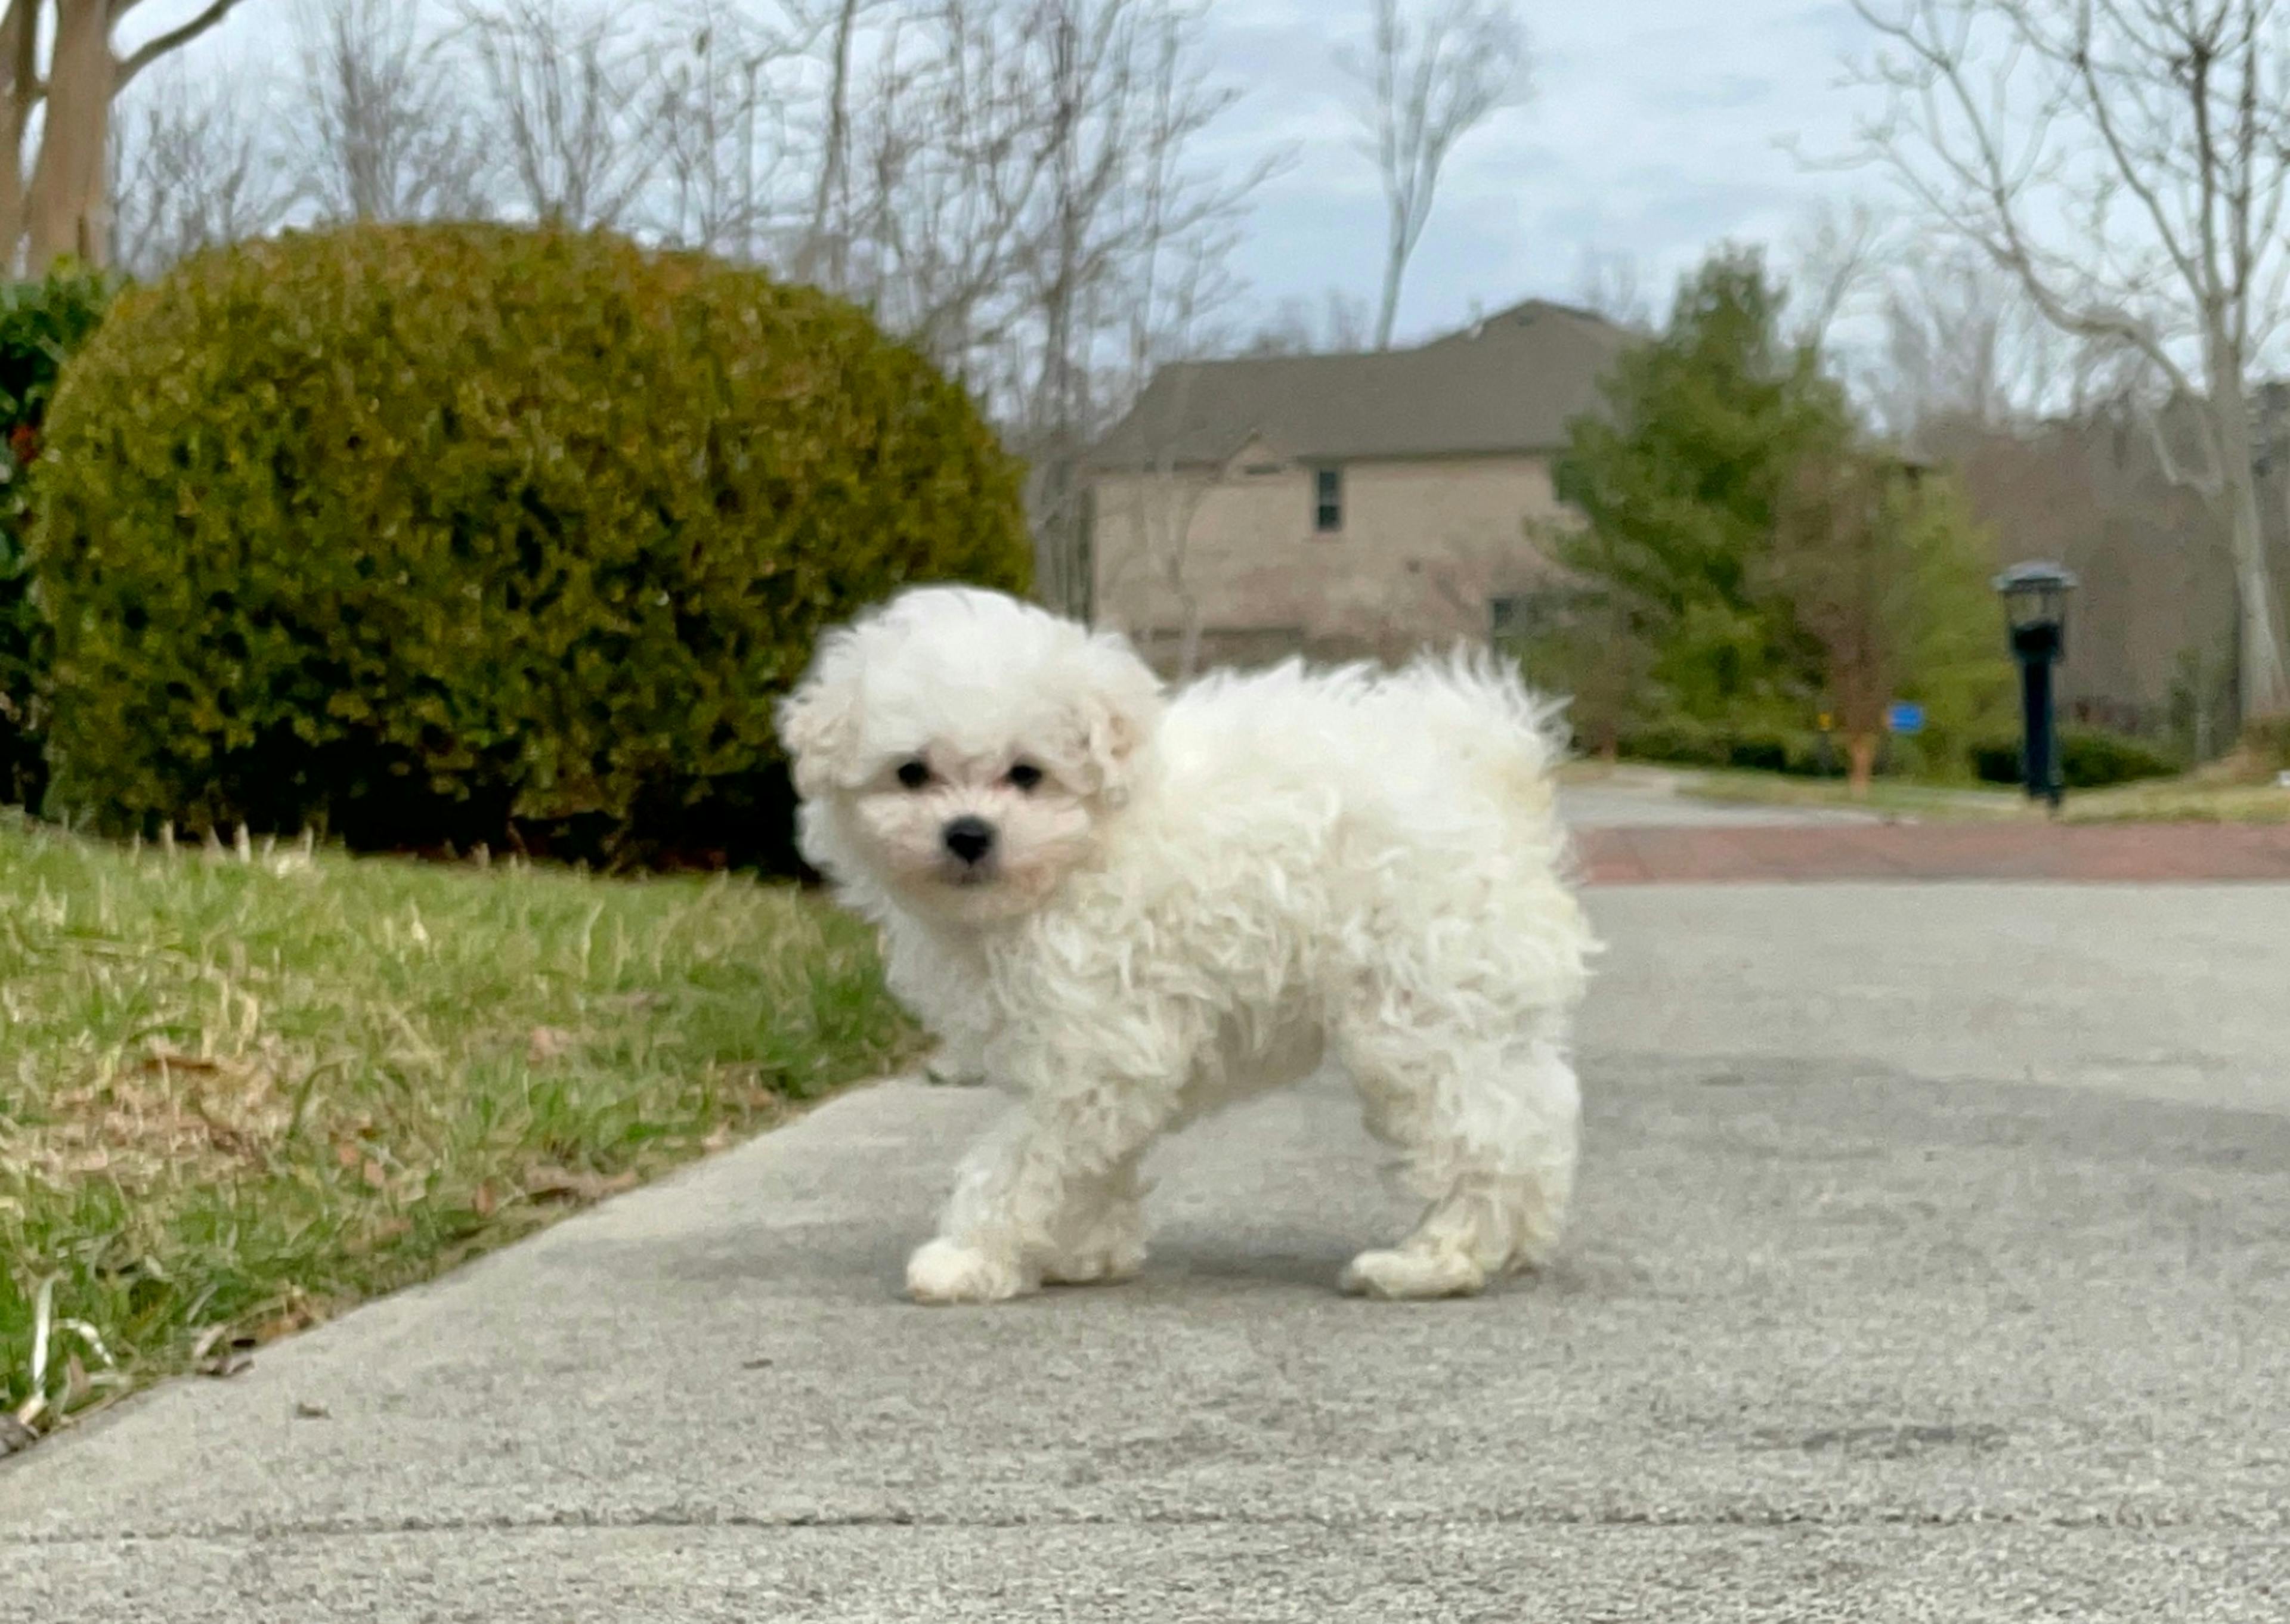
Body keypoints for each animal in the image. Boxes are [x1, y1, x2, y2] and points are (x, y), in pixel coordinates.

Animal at [769, 581, 1593, 1301]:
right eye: (912, 774)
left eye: (1027, 774)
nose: (968, 834)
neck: (1085, 847)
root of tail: (1493, 773)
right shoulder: (1101, 1055)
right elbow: (1087, 1155)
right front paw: (1081, 1254)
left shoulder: (1097, 1043)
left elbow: (1023, 1157)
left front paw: (970, 1256)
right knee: (1530, 1116)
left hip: (1419, 1008)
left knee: (1478, 1136)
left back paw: (1433, 1263)